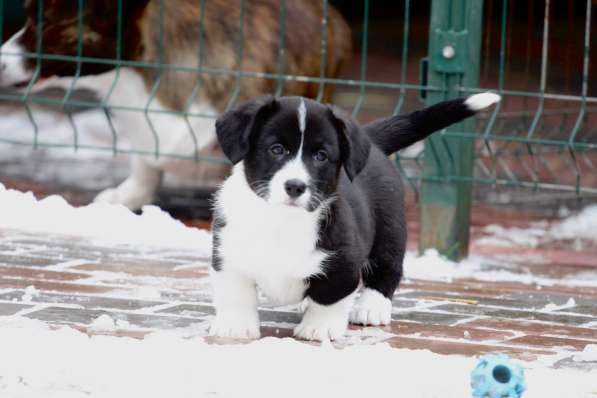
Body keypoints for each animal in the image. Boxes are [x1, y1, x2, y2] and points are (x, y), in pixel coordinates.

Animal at [210, 91, 498, 340]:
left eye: (321, 156)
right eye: (276, 149)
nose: (295, 186)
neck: (282, 221)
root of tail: (372, 142)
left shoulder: (344, 262)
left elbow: (330, 297)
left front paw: (319, 328)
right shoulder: (227, 255)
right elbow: (237, 293)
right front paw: (235, 327)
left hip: (390, 230)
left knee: (387, 269)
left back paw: (371, 308)